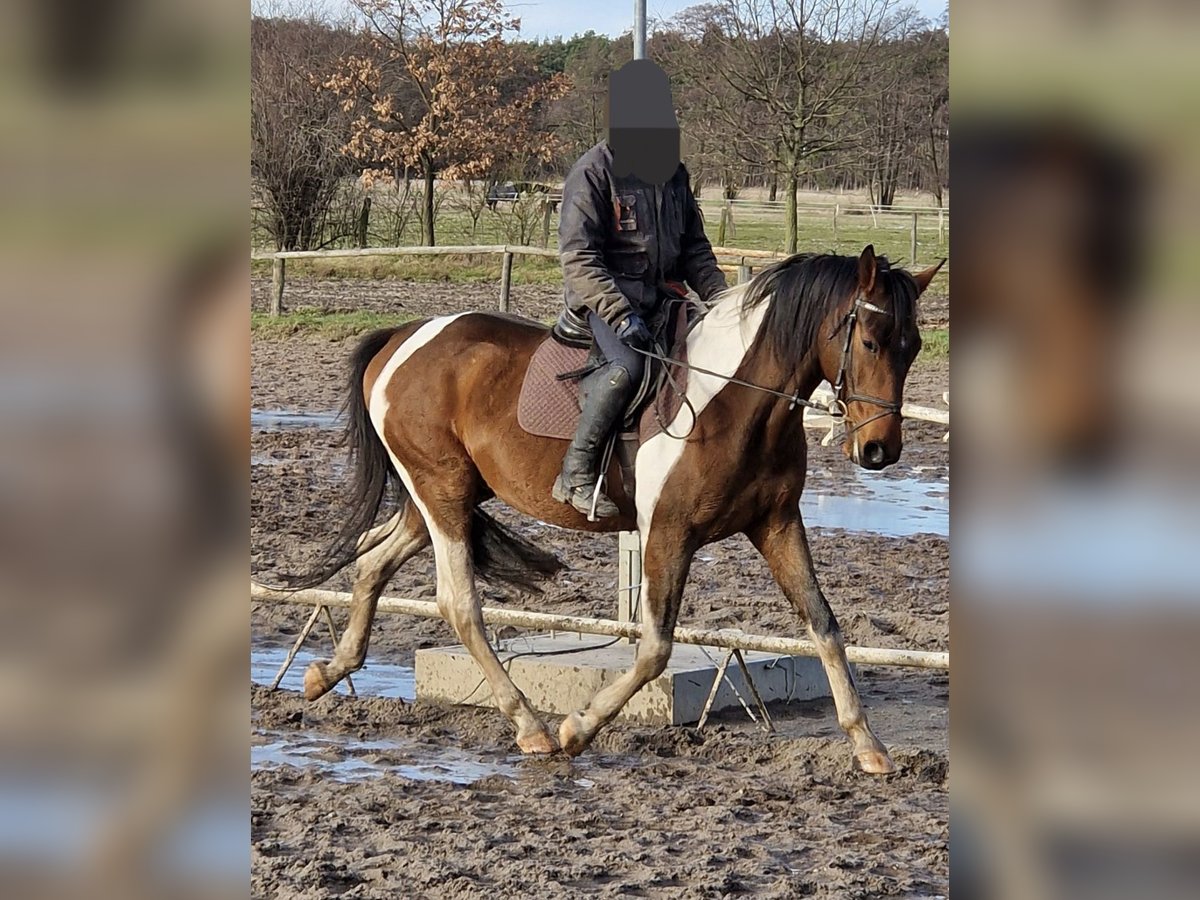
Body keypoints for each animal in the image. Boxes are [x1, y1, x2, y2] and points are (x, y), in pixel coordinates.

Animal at [295, 244, 940, 777]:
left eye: (912, 348)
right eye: (870, 342)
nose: (880, 451)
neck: (734, 400)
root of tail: (401, 337)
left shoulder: (776, 524)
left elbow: (824, 623)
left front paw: (868, 746)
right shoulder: (667, 533)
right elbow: (654, 647)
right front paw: (577, 728)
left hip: (440, 496)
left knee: (372, 562)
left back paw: (326, 672)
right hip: (443, 494)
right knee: (459, 603)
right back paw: (531, 728)